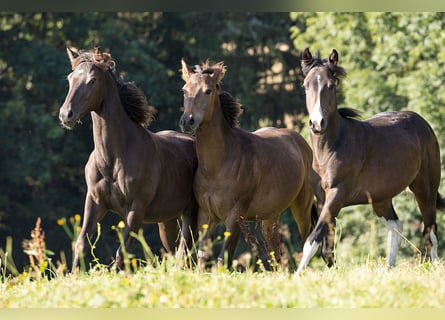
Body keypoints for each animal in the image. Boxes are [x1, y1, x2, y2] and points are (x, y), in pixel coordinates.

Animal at [59, 45, 198, 270]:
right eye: (70, 78)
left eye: (92, 80)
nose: (66, 115)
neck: (112, 159)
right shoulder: (95, 201)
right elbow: (81, 244)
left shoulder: (136, 208)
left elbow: (121, 254)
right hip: (166, 221)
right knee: (173, 251)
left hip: (190, 215)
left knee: (184, 252)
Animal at [177, 58, 316, 268]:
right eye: (184, 90)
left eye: (208, 91)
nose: (188, 122)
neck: (219, 166)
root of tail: (301, 143)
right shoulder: (206, 216)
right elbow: (202, 257)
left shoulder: (235, 217)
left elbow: (222, 259)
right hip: (270, 217)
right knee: (276, 253)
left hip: (302, 205)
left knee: (305, 240)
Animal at [294, 47, 444, 272]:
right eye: (306, 85)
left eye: (331, 85)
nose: (317, 123)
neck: (331, 148)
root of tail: (423, 123)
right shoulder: (322, 199)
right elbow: (326, 250)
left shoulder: (337, 194)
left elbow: (313, 240)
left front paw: (296, 275)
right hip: (381, 198)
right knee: (397, 227)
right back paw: (388, 268)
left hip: (425, 189)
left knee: (430, 231)